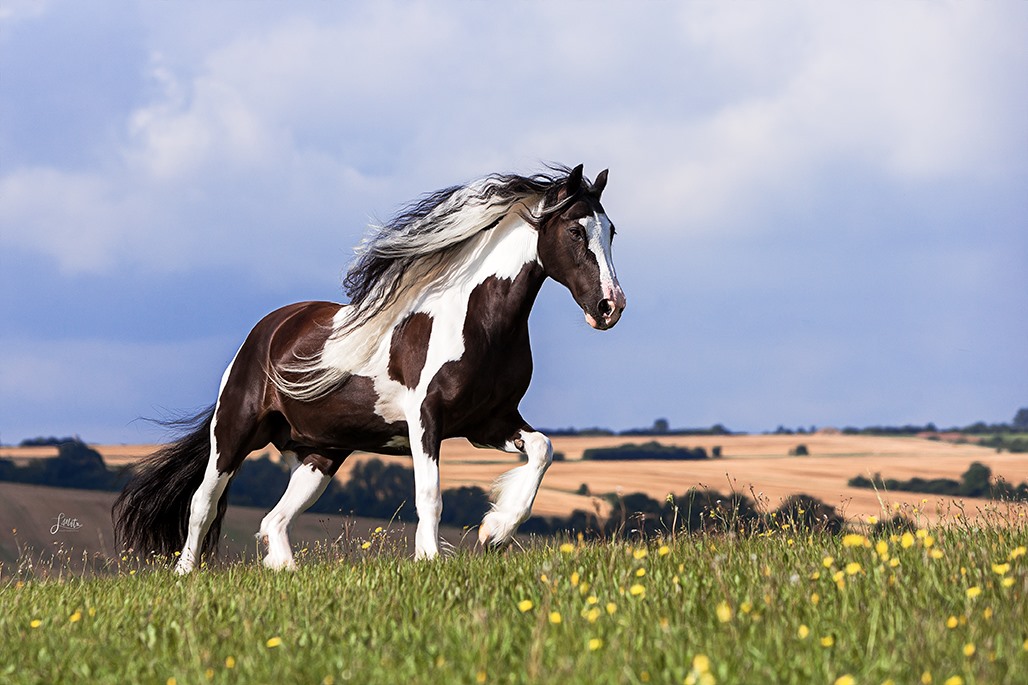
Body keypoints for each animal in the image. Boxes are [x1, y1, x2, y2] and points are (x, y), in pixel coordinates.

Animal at [112, 161, 625, 571]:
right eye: (576, 230)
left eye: (612, 231)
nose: (610, 307)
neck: (478, 321)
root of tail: (264, 333)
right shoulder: (427, 420)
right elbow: (429, 494)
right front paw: (431, 559)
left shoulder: (490, 423)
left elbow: (543, 449)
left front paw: (494, 531)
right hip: (235, 429)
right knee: (203, 501)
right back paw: (186, 575)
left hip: (321, 453)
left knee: (273, 519)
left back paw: (286, 571)